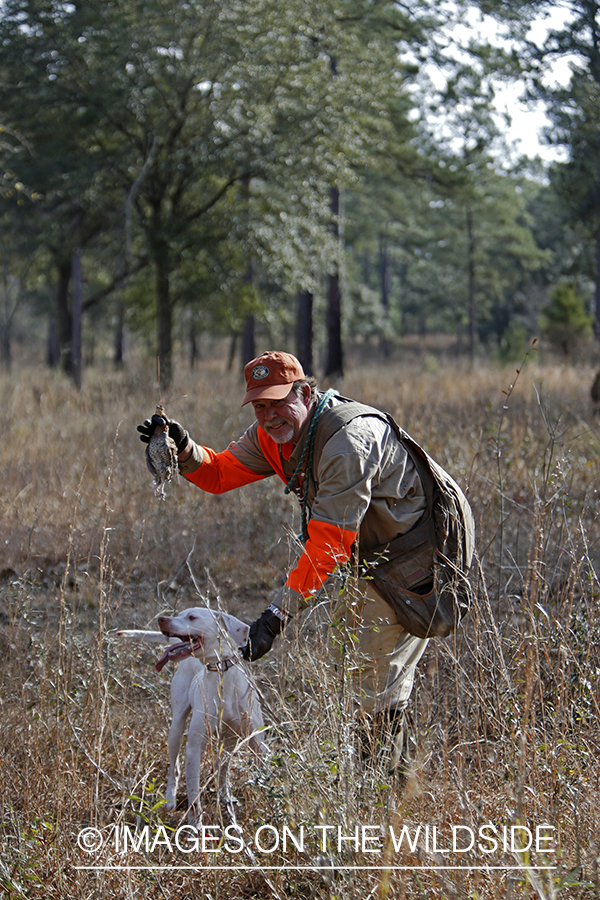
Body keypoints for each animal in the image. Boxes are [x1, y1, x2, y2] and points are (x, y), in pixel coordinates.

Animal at [118, 604, 266, 824]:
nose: (162, 619)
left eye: (192, 617)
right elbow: (194, 798)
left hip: (229, 741)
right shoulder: (194, 748)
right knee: (174, 768)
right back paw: (170, 798)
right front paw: (196, 826)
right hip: (176, 729)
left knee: (221, 767)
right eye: (179, 615)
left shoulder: (258, 743)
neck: (222, 674)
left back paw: (225, 796)